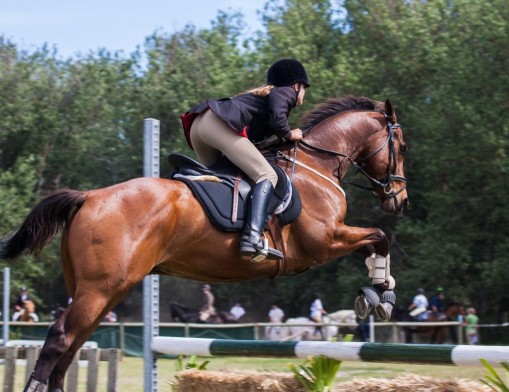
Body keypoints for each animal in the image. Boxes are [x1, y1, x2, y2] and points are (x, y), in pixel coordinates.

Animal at [0, 95, 406, 392]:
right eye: (400, 146)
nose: (398, 200)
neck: (315, 166)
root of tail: (87, 197)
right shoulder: (323, 242)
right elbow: (379, 237)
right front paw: (380, 296)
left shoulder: (330, 240)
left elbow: (375, 242)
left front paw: (379, 290)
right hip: (98, 290)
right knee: (59, 339)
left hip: (102, 290)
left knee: (73, 345)